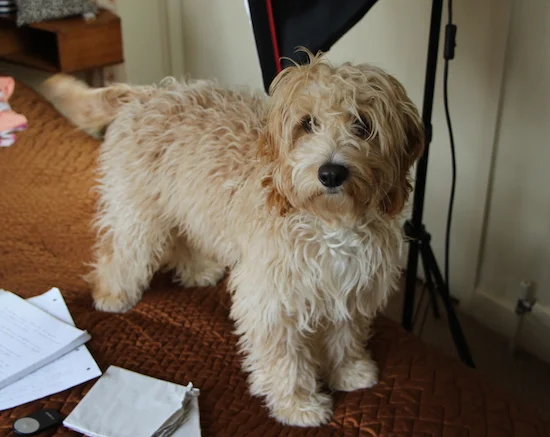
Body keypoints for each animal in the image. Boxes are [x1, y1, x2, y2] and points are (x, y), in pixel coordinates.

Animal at [43, 50, 424, 426]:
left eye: (363, 125)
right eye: (307, 124)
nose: (331, 173)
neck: (328, 224)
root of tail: (149, 92)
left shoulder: (352, 286)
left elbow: (345, 335)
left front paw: (348, 372)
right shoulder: (270, 298)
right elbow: (284, 357)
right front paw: (297, 404)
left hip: (186, 202)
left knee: (180, 239)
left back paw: (196, 271)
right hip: (138, 208)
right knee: (120, 249)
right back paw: (113, 293)